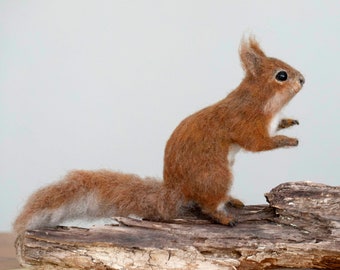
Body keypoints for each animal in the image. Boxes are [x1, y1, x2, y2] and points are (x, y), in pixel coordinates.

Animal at [13, 36, 306, 234]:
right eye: (281, 75)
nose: (303, 79)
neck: (260, 99)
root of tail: (178, 190)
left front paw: (290, 122)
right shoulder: (244, 123)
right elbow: (258, 144)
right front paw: (288, 141)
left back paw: (231, 201)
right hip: (216, 176)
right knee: (207, 206)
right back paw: (224, 216)